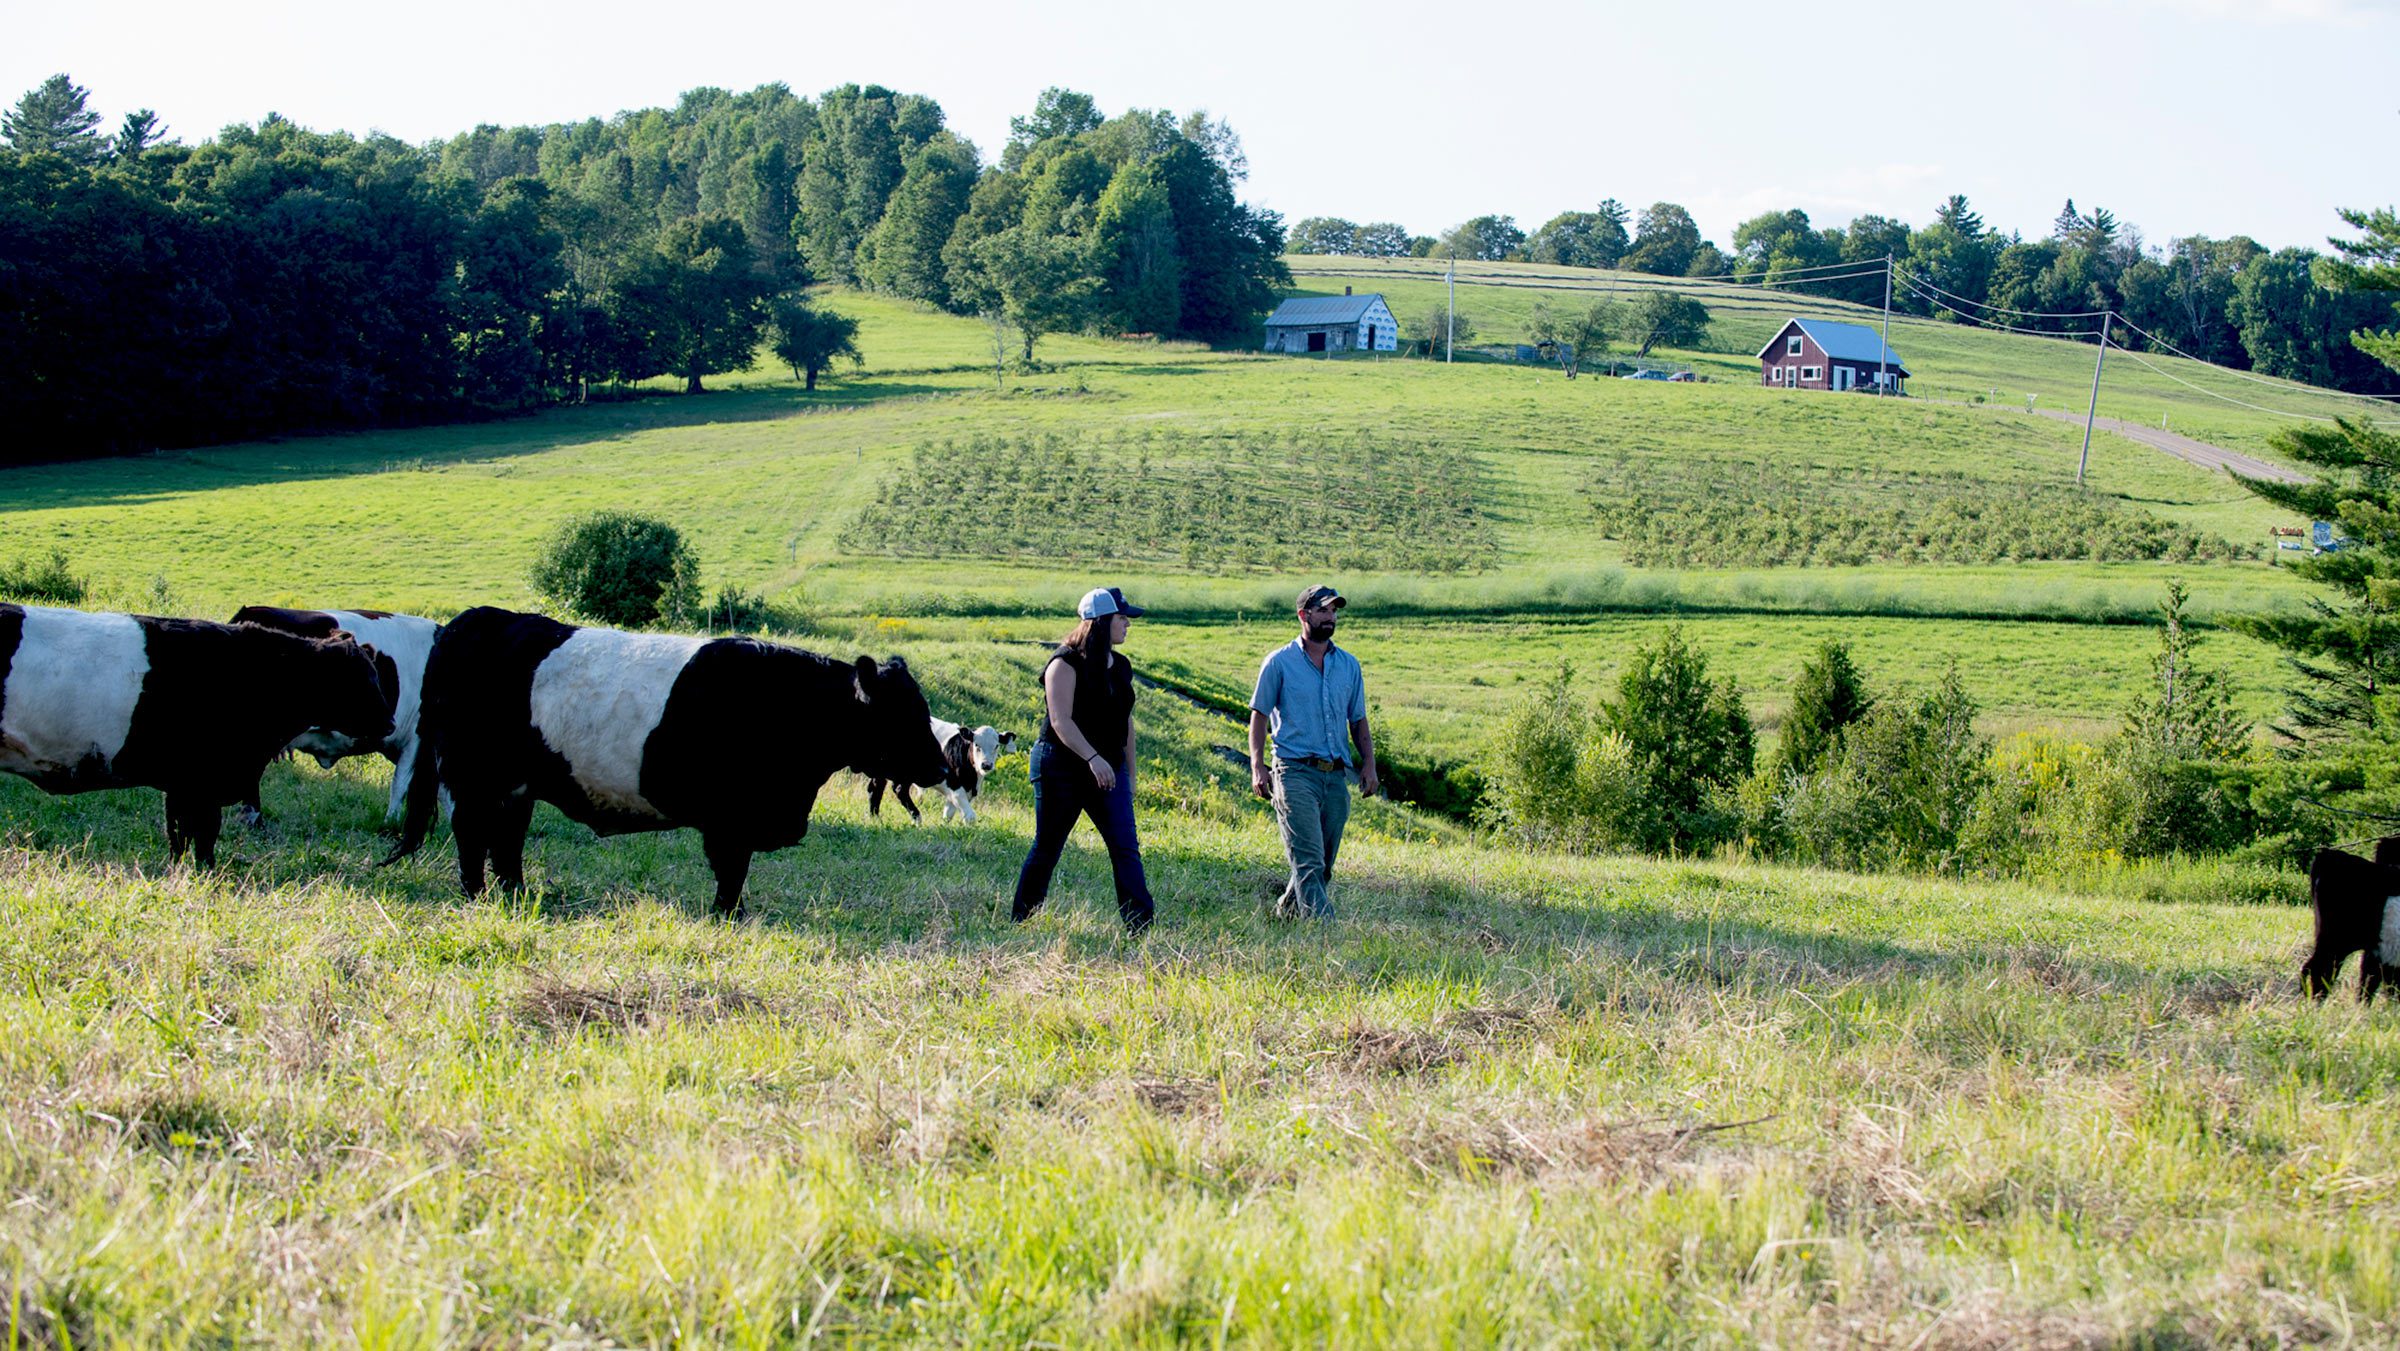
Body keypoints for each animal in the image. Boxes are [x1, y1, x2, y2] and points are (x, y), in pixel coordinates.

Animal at [0, 602, 393, 868]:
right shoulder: (202, 782)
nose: (389, 723)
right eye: (362, 678)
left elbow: (178, 836)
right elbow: (201, 837)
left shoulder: (182, 783)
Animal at [393, 609, 945, 921]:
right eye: (904, 716)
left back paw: (516, 895)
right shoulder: (731, 820)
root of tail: (466, 622)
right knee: (471, 832)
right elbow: (731, 871)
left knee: (507, 839)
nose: (941, 769)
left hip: (516, 785)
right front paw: (728, 917)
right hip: (470, 776)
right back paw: (476, 896)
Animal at [868, 724, 1017, 830]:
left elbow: (948, 815)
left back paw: (875, 818)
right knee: (898, 790)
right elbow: (969, 816)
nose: (986, 765)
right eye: (976, 744)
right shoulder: (954, 786)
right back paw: (917, 820)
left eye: (996, 746)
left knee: (875, 787)